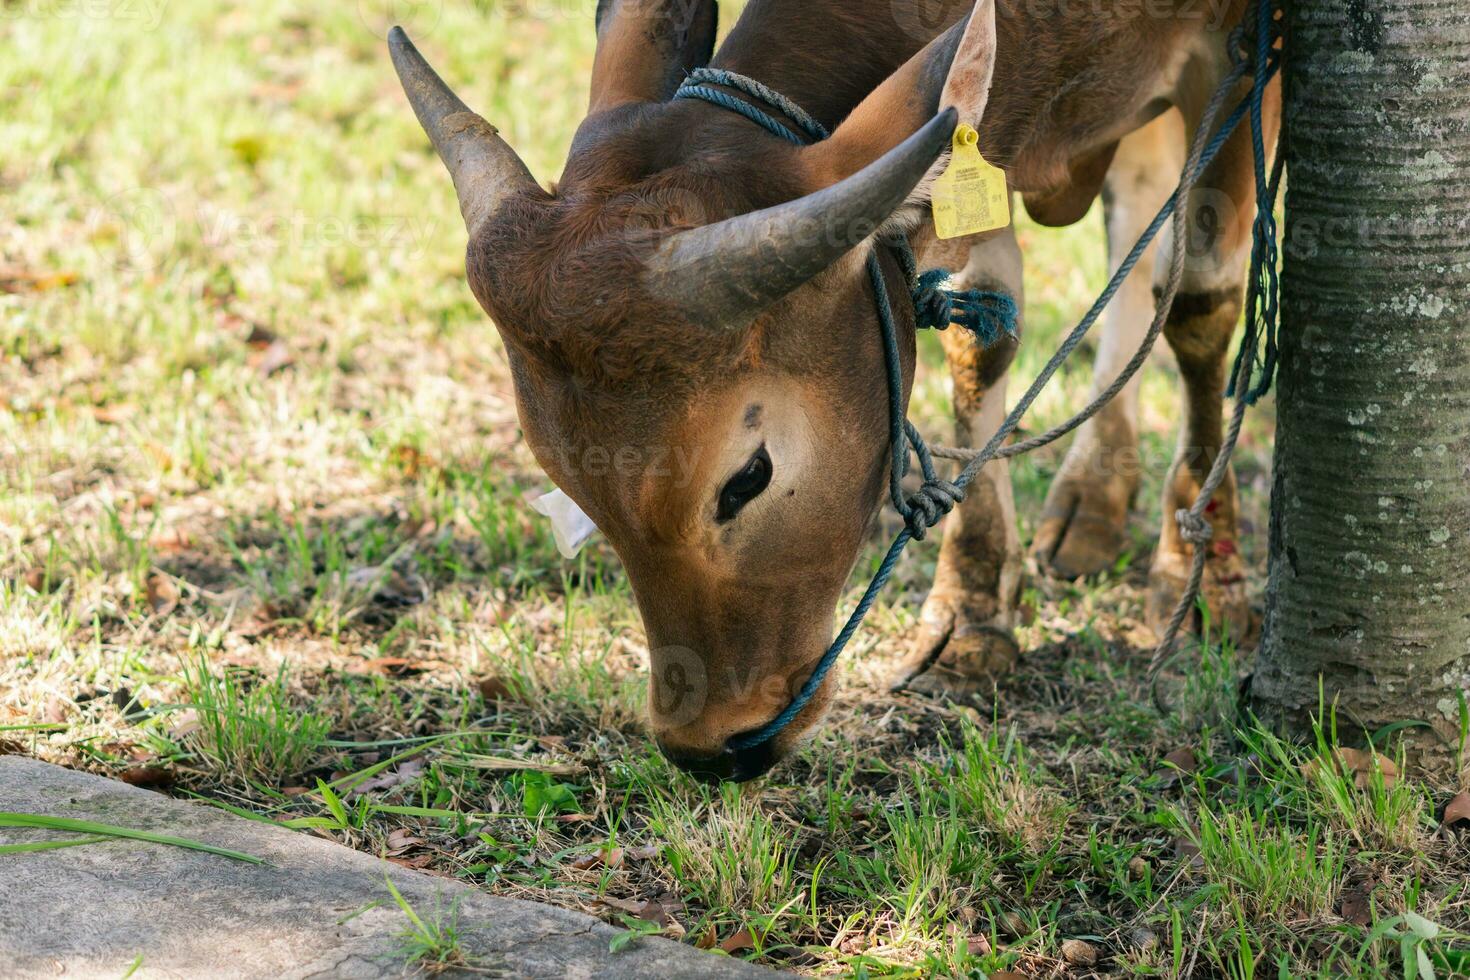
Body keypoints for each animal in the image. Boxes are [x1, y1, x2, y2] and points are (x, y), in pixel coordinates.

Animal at [388, 0, 1275, 781]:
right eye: (572, 485)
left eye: (748, 478)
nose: (708, 749)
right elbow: (982, 332)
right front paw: (973, 610)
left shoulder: (1242, 59)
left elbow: (1202, 298)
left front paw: (1205, 569)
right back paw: (1095, 491)